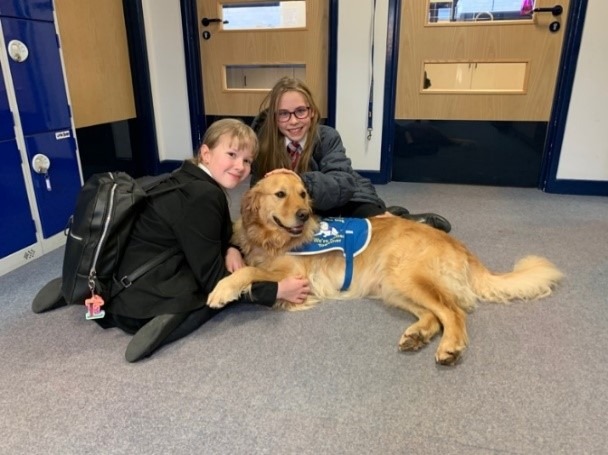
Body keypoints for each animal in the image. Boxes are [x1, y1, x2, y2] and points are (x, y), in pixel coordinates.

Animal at [208, 173, 560, 366]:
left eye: (304, 194)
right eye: (280, 194)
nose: (305, 215)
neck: (271, 239)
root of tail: (458, 244)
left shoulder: (297, 276)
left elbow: (247, 273)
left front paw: (222, 291)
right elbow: (247, 265)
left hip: (406, 276)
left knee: (453, 312)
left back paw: (450, 347)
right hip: (393, 286)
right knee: (434, 314)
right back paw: (417, 335)